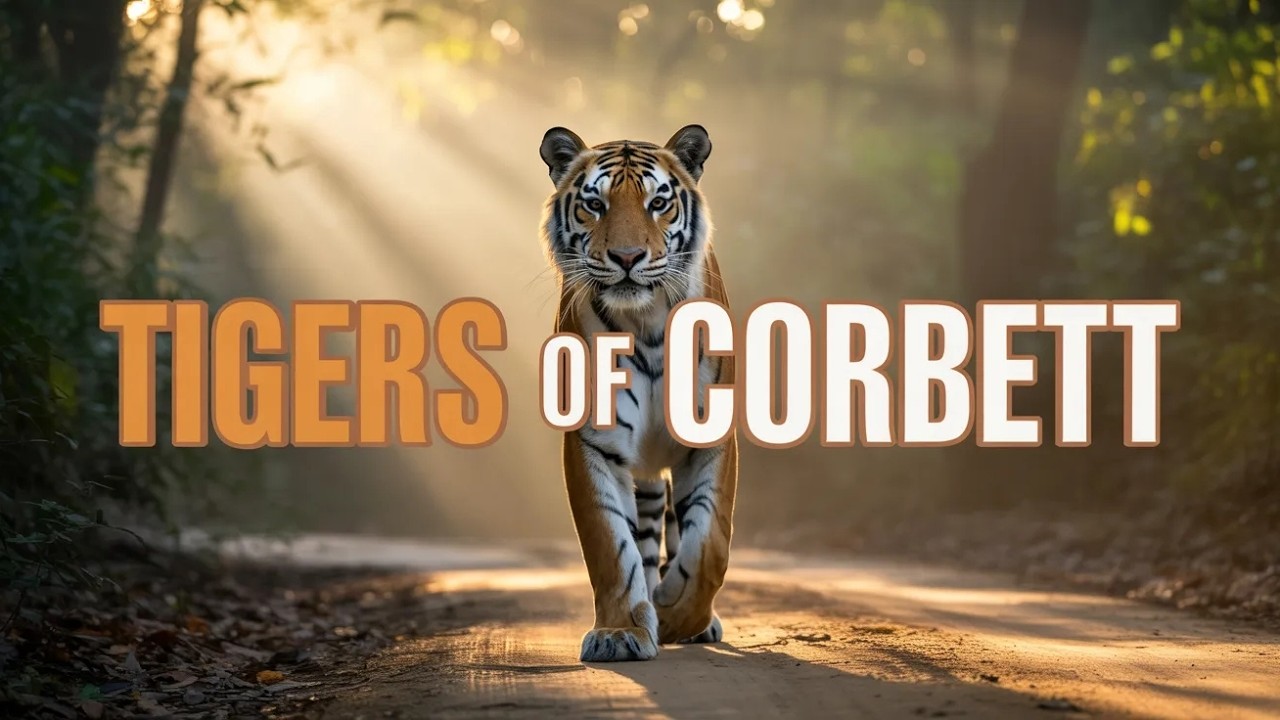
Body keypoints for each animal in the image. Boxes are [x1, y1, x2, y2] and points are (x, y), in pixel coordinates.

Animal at [538, 125, 738, 662]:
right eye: (595, 204)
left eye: (658, 203)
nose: (627, 258)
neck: (645, 323)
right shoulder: (594, 442)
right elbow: (611, 546)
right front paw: (622, 630)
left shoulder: (712, 437)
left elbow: (709, 544)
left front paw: (676, 616)